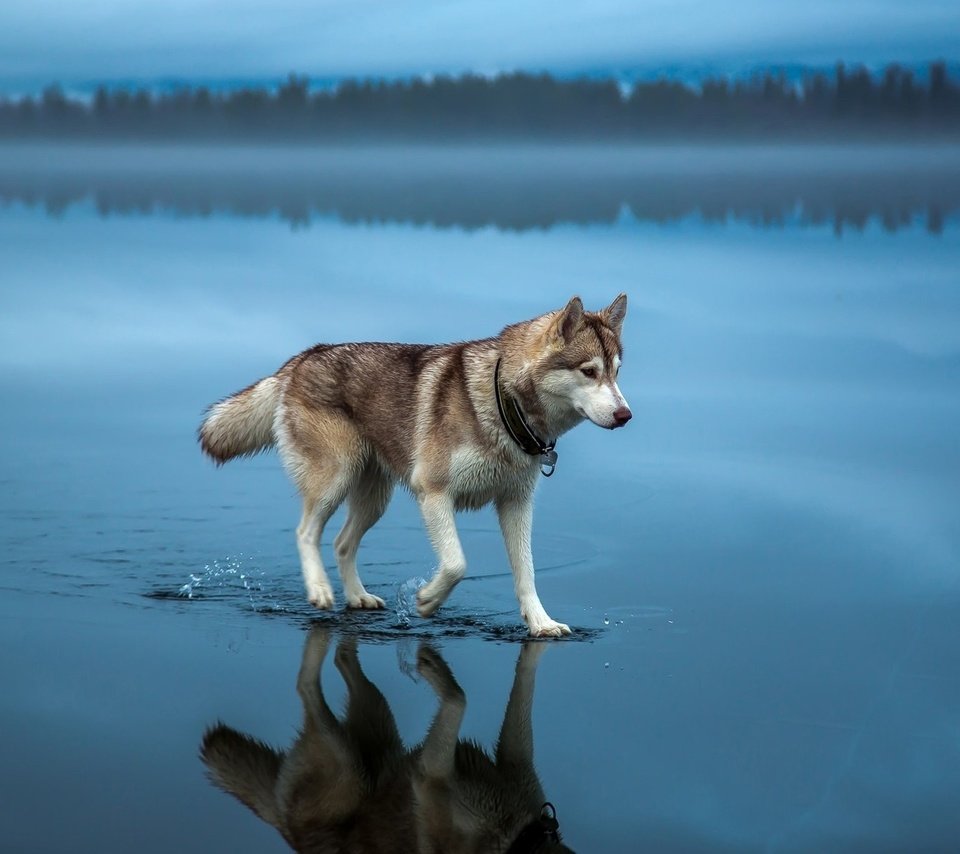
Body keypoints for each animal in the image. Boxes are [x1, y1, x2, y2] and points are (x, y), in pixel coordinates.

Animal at [200, 628, 572, 854]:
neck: (519, 837)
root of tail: (285, 829)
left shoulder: (515, 758)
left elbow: (524, 683)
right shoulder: (430, 776)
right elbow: (459, 698)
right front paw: (433, 668)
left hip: (379, 721)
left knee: (342, 660)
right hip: (349, 764)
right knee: (305, 686)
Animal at [202, 294, 632, 636]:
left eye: (616, 372)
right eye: (589, 371)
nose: (625, 415)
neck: (502, 404)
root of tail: (302, 357)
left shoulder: (516, 504)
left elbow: (525, 573)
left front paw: (541, 624)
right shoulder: (434, 493)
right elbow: (457, 563)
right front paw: (427, 600)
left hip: (375, 499)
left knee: (342, 543)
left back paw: (357, 597)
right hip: (335, 479)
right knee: (306, 532)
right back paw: (320, 590)